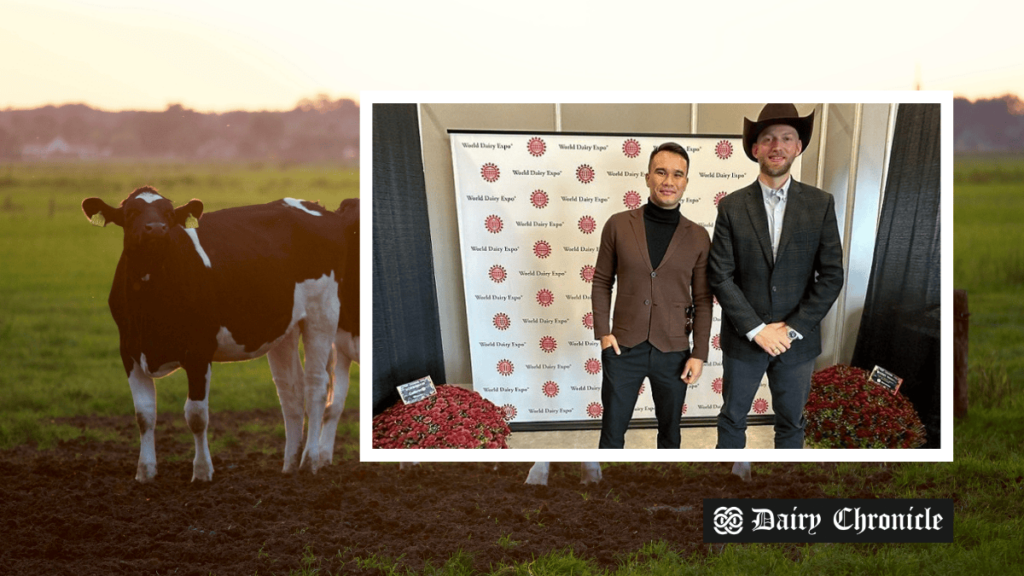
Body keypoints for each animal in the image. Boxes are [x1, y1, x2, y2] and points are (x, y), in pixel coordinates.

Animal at [81, 187, 360, 479]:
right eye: (131, 213)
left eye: (168, 214)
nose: (156, 228)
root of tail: (316, 207)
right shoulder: (130, 350)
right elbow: (144, 414)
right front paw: (145, 473)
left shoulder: (199, 351)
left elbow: (196, 415)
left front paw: (202, 472)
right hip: (285, 327)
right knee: (290, 390)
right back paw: (290, 464)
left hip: (323, 313)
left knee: (316, 385)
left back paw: (310, 461)